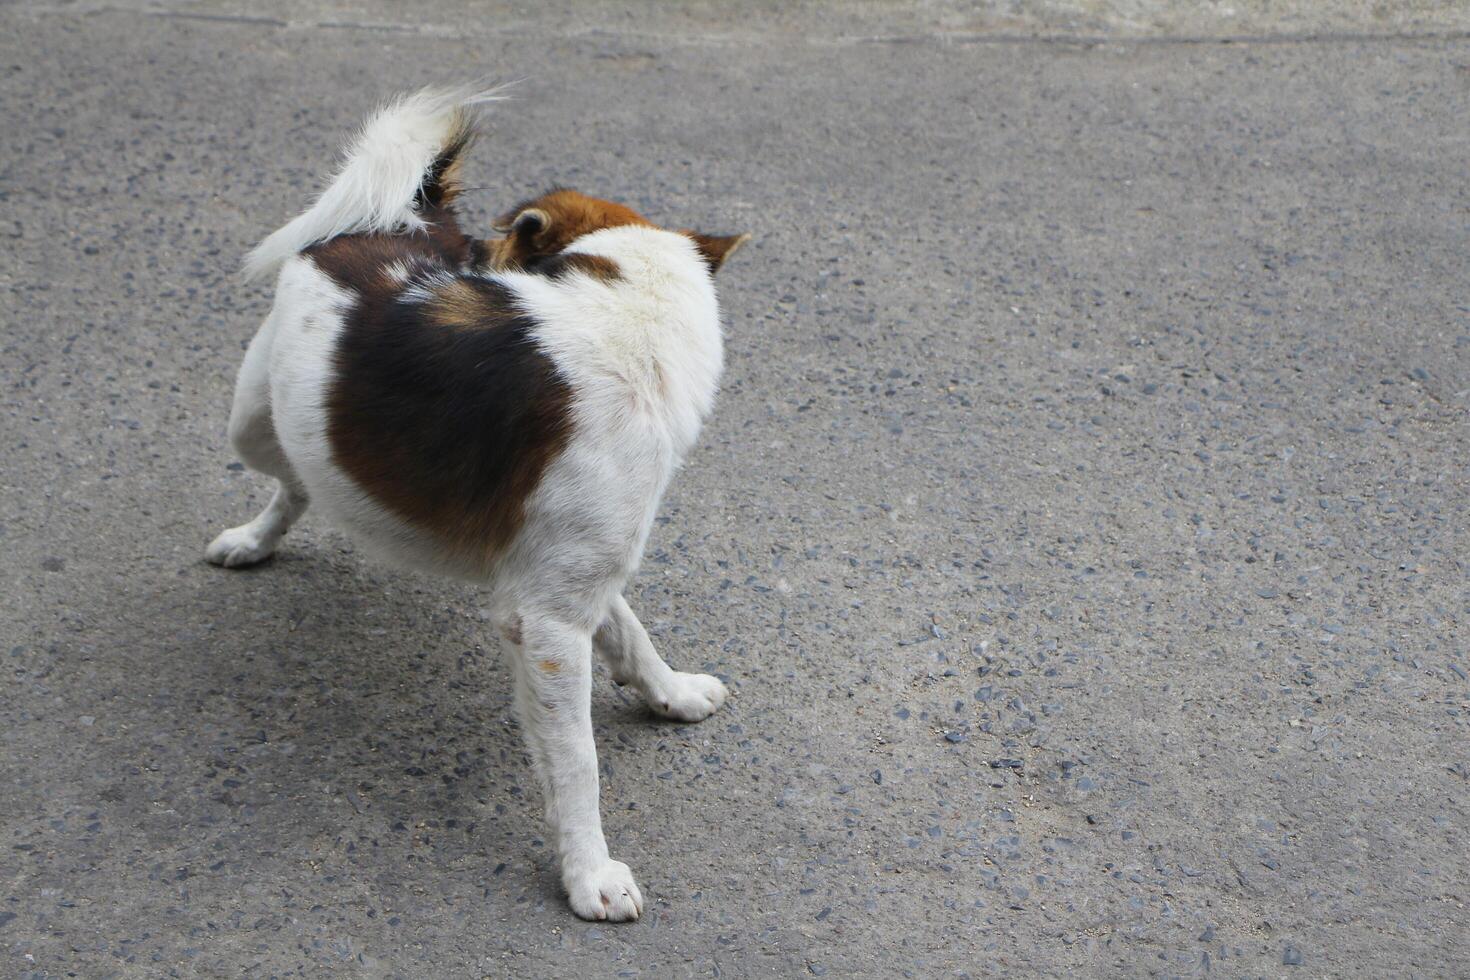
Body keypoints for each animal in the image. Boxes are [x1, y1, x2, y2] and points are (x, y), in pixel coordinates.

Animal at [207, 88, 746, 922]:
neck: (626, 313)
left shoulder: (569, 577)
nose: (477, 258)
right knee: (294, 481)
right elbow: (578, 762)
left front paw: (671, 694)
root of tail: (403, 216)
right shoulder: (550, 621)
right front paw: (588, 874)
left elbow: (631, 635)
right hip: (257, 421)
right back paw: (253, 539)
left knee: (307, 481)